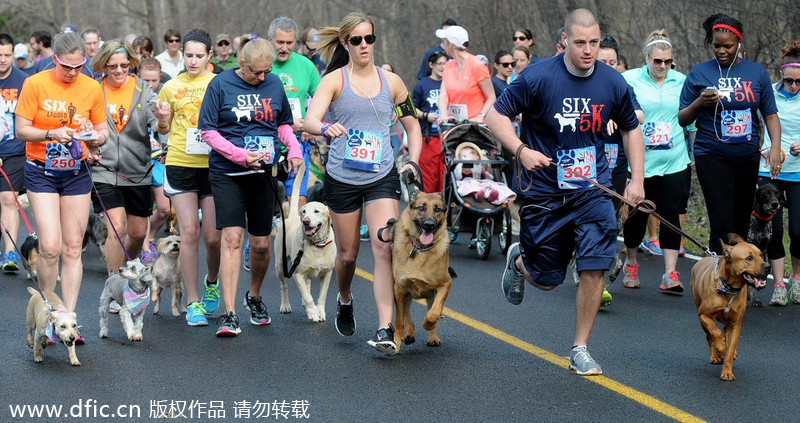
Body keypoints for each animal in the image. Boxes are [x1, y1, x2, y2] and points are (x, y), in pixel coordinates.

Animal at [276, 164, 338, 322]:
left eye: (316, 211)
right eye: (304, 211)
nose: (305, 221)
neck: (317, 245)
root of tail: (292, 216)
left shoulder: (327, 273)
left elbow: (322, 295)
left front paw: (319, 311)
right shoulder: (296, 273)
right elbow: (307, 295)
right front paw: (313, 312)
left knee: (308, 282)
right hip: (280, 266)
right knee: (284, 286)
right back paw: (285, 305)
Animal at [688, 234, 768, 382]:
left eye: (761, 255)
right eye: (749, 258)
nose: (768, 267)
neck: (729, 289)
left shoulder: (736, 323)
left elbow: (730, 349)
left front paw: (727, 371)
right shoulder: (703, 315)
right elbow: (715, 332)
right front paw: (720, 348)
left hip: (728, 322)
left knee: (726, 334)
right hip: (700, 314)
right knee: (709, 336)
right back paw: (715, 355)